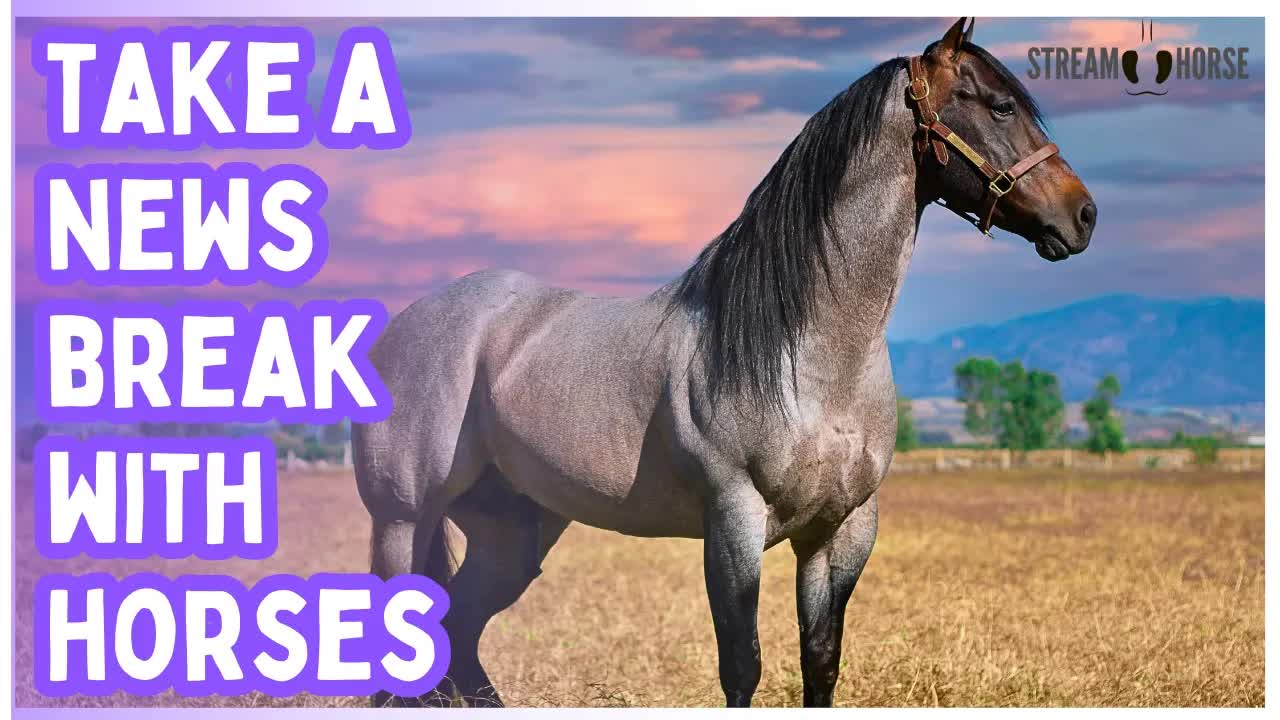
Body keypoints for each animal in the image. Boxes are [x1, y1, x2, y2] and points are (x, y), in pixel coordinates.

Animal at [354, 17, 1095, 708]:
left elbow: (820, 661)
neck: (812, 357)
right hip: (401, 523)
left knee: (462, 637)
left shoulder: (841, 530)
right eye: (1000, 105)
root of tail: (403, 328)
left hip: (513, 535)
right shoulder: (733, 521)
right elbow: (742, 665)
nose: (1082, 215)